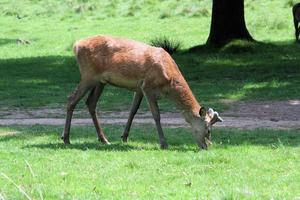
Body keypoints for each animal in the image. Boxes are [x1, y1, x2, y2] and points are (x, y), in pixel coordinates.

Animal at [61, 35, 223, 149]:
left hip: (100, 81)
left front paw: (124, 137)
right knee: (71, 99)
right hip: (88, 75)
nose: (207, 146)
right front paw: (164, 143)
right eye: (208, 130)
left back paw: (103, 139)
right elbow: (156, 115)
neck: (169, 83)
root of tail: (76, 45)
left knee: (91, 103)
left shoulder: (139, 88)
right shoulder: (148, 87)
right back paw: (66, 138)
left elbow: (133, 110)